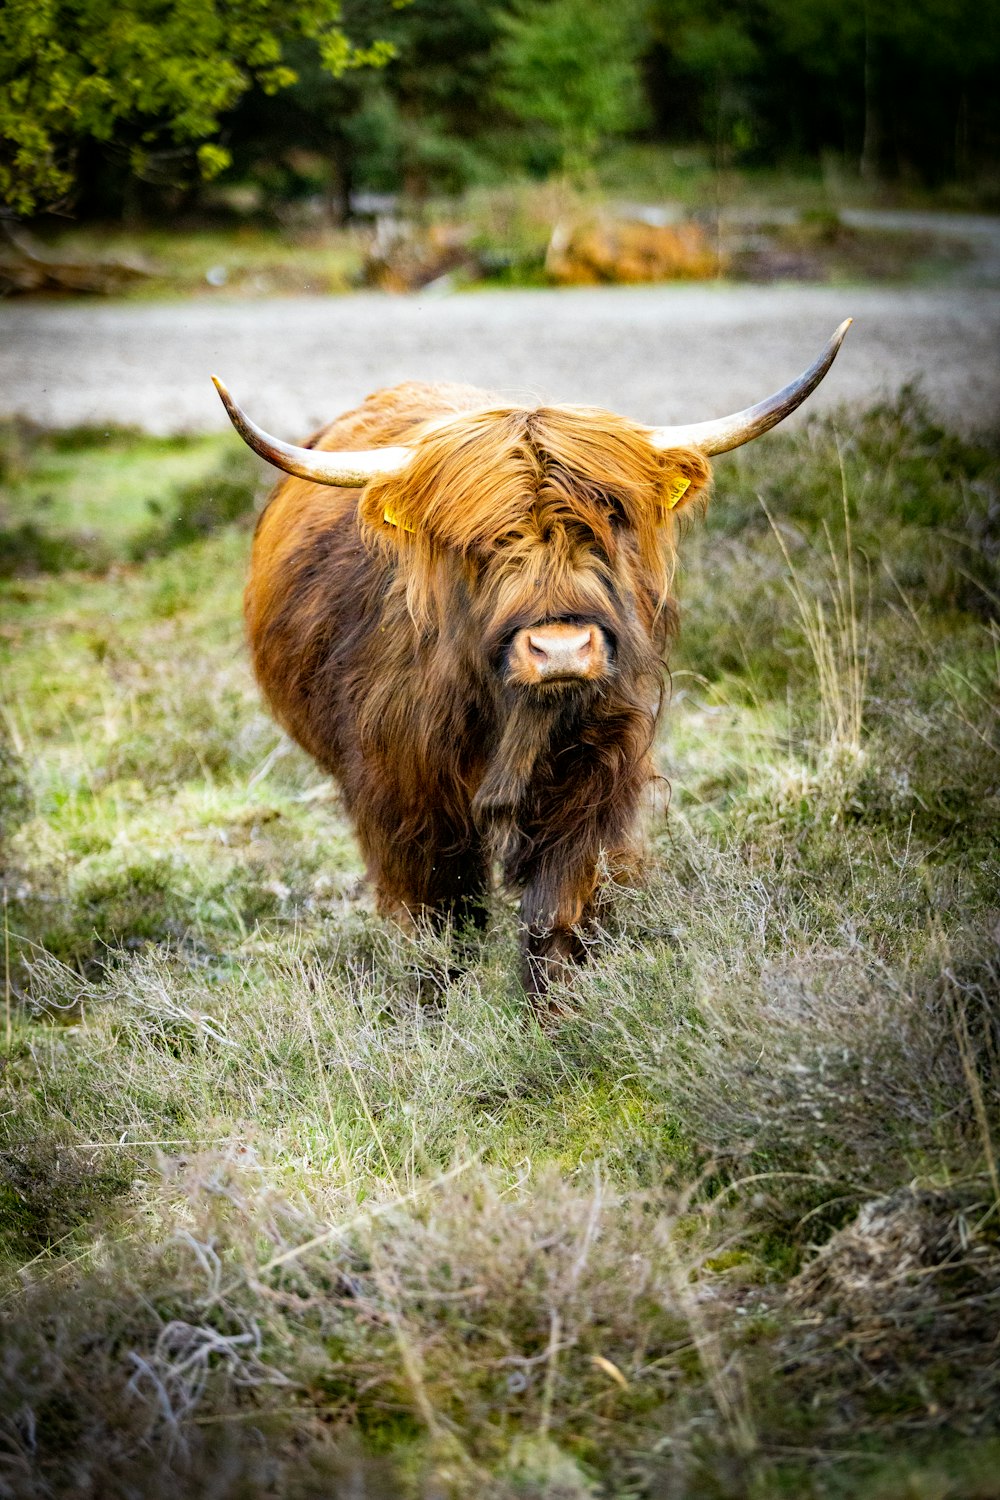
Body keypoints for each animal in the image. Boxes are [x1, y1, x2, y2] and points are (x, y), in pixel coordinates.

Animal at [212, 321, 851, 1002]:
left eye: (606, 520)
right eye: (483, 542)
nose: (562, 649)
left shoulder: (596, 768)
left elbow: (555, 909)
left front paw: (558, 1010)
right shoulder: (405, 790)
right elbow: (442, 916)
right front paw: (436, 1008)